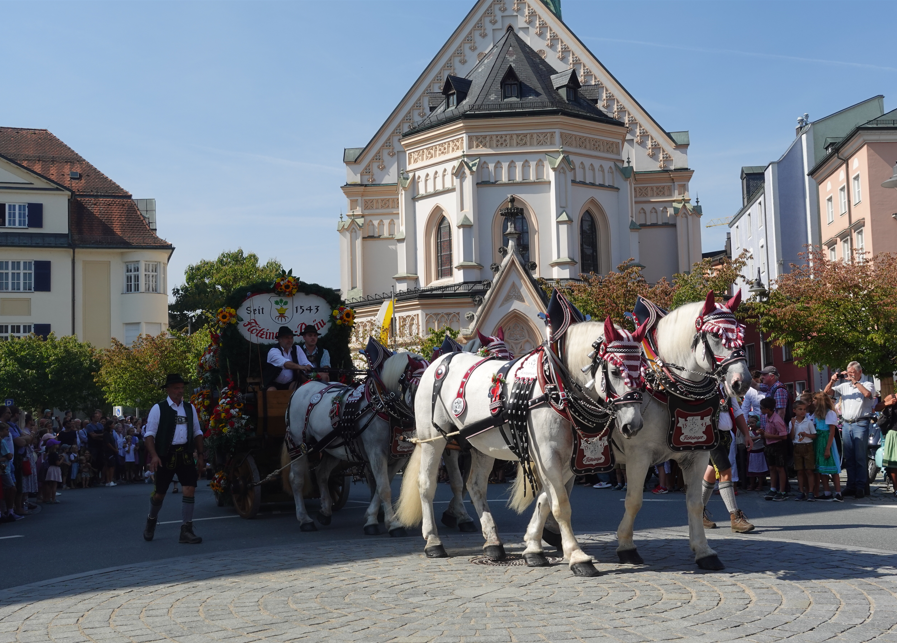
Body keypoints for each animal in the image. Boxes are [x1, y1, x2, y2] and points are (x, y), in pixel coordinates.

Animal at [284, 350, 424, 536]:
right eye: (417, 385)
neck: (384, 404)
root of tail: (304, 386)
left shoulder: (398, 456)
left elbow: (381, 486)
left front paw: (372, 519)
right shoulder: (376, 452)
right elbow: (384, 488)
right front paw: (393, 525)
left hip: (332, 447)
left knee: (322, 473)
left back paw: (325, 512)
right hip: (300, 446)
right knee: (297, 480)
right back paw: (305, 519)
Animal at [396, 320, 648, 576]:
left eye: (643, 371)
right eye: (615, 371)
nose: (633, 425)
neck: (555, 385)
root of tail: (440, 362)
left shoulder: (568, 458)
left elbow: (546, 500)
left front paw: (533, 548)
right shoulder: (547, 455)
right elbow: (560, 505)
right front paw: (577, 556)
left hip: (482, 444)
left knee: (475, 486)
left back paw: (493, 543)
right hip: (433, 438)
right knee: (426, 484)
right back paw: (433, 541)